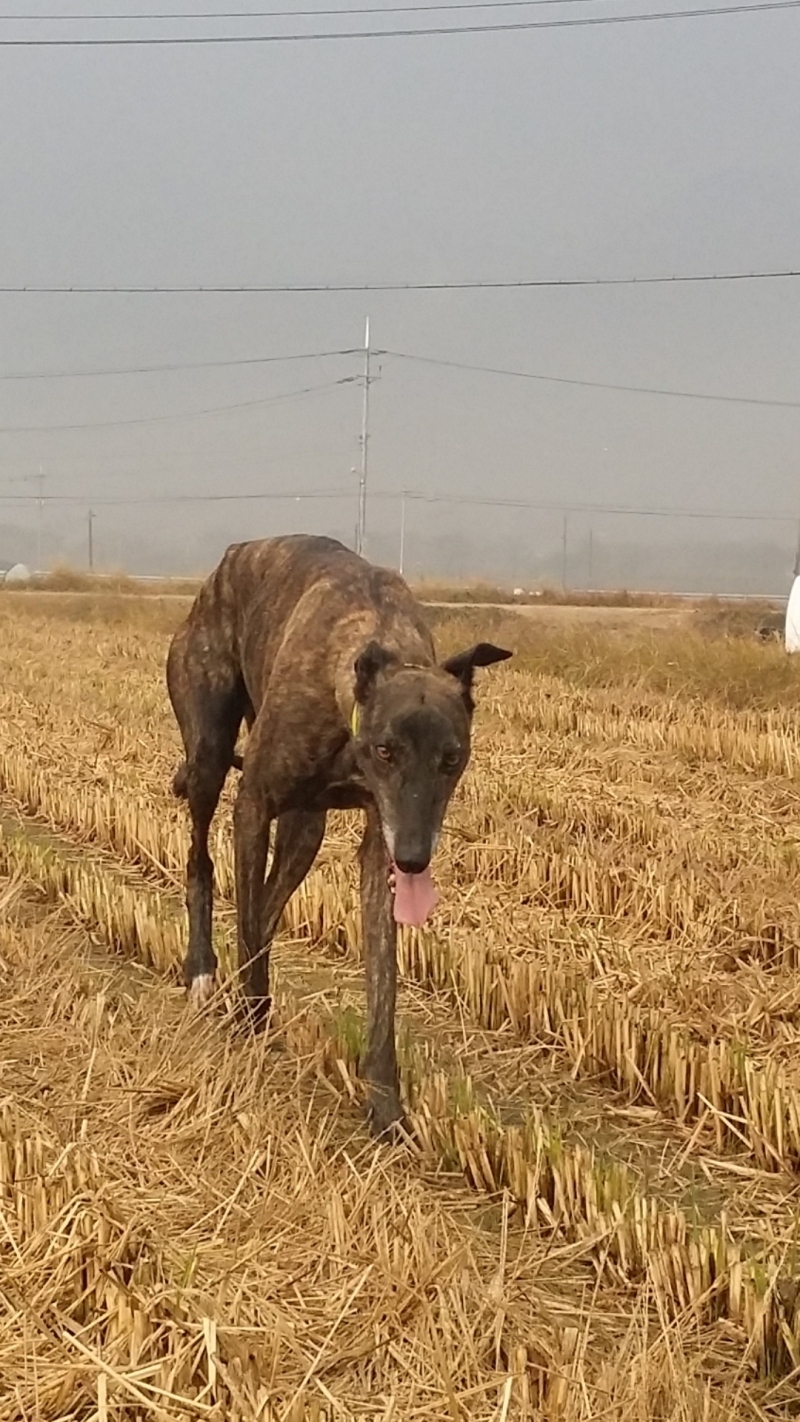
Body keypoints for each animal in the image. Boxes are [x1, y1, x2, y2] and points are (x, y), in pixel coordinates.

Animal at [166, 534, 511, 1136]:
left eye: (452, 758)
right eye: (386, 750)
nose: (415, 859)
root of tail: (226, 563)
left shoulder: (380, 843)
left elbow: (382, 978)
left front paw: (385, 1103)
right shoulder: (253, 806)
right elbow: (246, 918)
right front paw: (248, 1025)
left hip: (305, 830)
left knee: (270, 904)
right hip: (208, 755)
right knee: (202, 863)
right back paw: (204, 969)